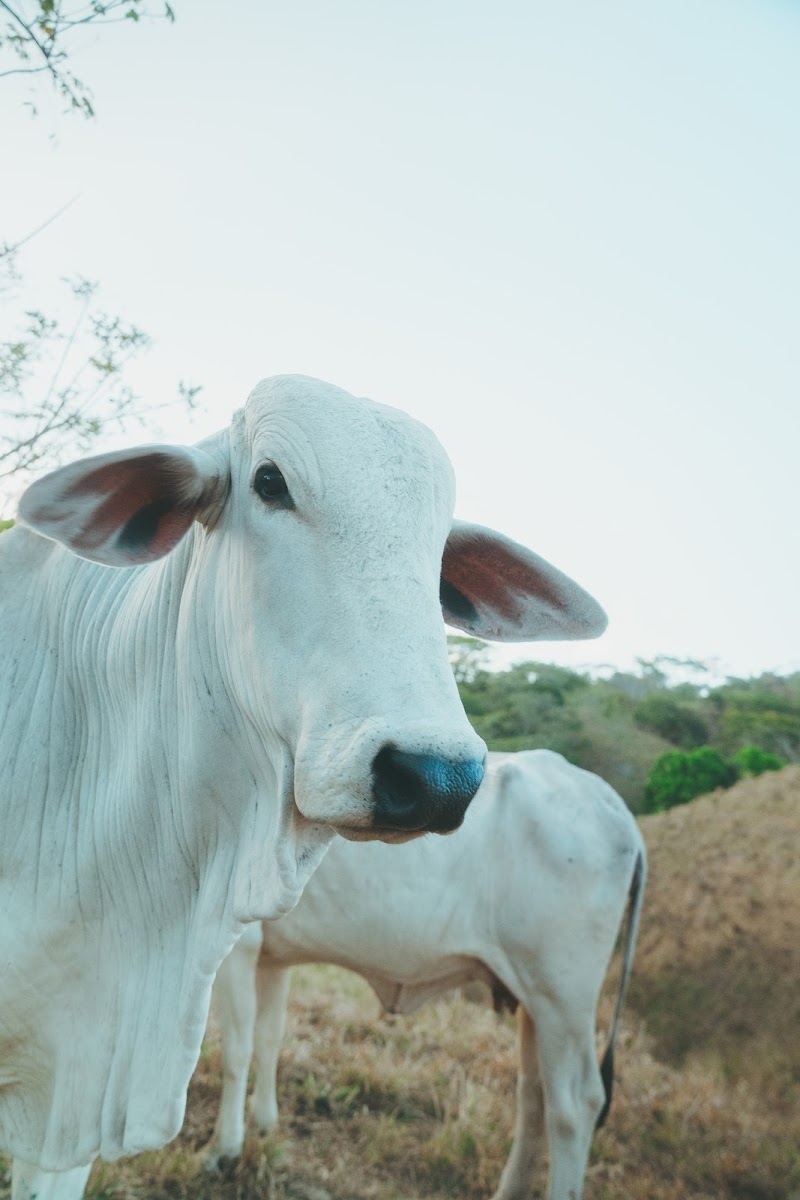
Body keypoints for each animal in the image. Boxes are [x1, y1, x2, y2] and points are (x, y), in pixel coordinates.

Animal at [206, 749, 646, 1200]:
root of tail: (620, 816)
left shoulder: (236, 949)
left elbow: (235, 1051)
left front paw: (225, 1149)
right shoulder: (271, 958)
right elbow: (268, 1040)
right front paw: (264, 1123)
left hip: (564, 1002)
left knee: (574, 1107)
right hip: (536, 1005)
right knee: (535, 1097)